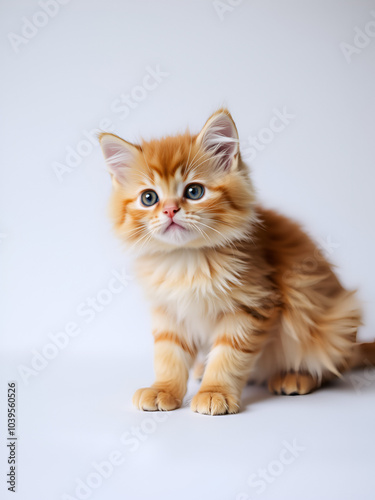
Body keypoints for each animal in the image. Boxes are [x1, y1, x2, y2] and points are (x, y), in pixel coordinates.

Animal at [99, 111, 375, 416]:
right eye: (149, 198)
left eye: (194, 192)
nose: (170, 210)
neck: (186, 260)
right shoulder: (169, 312)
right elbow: (168, 355)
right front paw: (164, 389)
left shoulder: (252, 305)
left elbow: (228, 356)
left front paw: (214, 392)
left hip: (334, 320)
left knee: (332, 364)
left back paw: (296, 376)